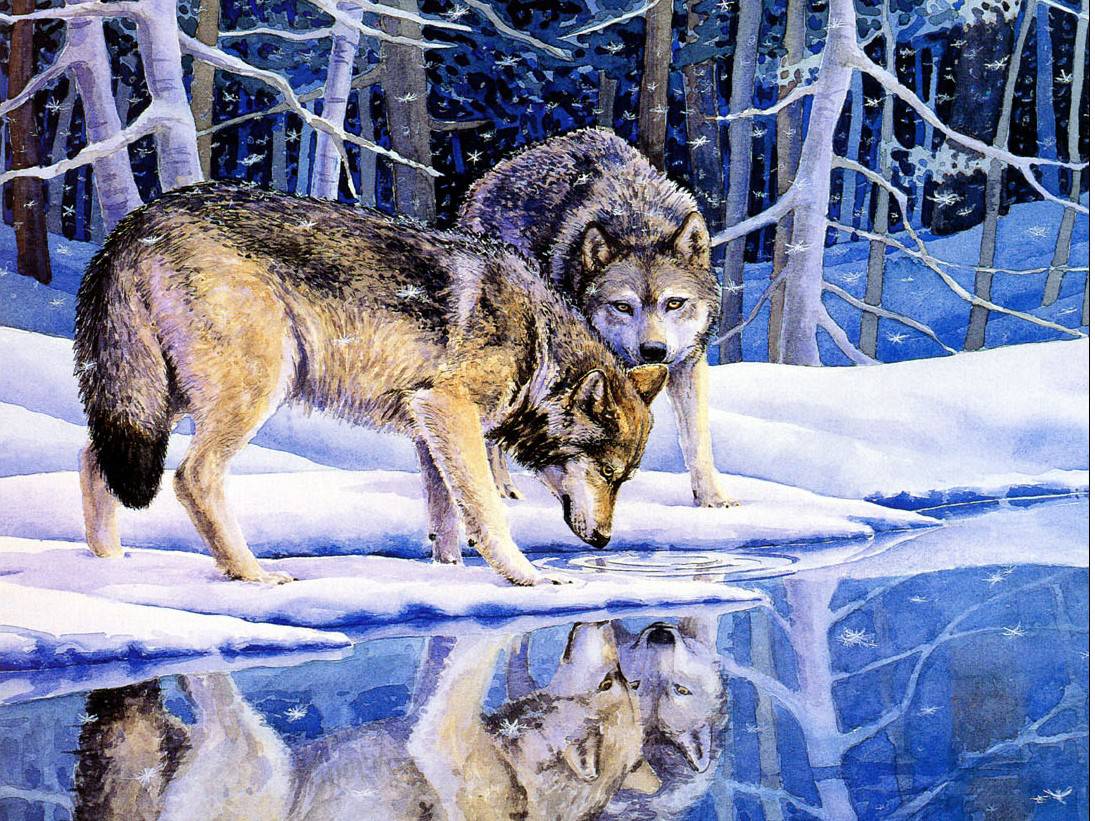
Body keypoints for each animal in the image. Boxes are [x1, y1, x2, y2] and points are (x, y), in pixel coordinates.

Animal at [74, 182, 667, 586]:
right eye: (608, 473)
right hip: (251, 389)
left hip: (159, 399)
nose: (605, 541)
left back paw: (109, 565)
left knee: (93, 455)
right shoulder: (450, 410)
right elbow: (486, 509)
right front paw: (531, 576)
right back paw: (252, 575)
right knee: (190, 477)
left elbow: (446, 520)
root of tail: (136, 222)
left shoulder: (430, 428)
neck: (538, 343)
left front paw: (449, 575)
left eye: (625, 479)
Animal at [460, 128, 734, 508]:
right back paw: (502, 491)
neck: (639, 224)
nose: (653, 351)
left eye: (675, 303)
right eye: (622, 306)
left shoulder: (686, 365)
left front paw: (711, 499)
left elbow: (698, 439)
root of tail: (491, 175)